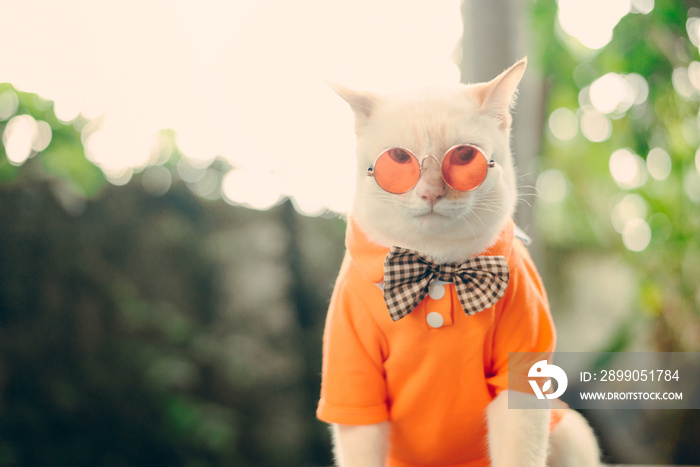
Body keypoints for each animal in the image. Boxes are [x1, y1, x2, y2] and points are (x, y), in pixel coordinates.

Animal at [314, 59, 600, 467]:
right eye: (398, 159)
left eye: (464, 157)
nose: (431, 192)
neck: (436, 268)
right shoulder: (356, 392)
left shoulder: (521, 386)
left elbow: (519, 456)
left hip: (572, 433)